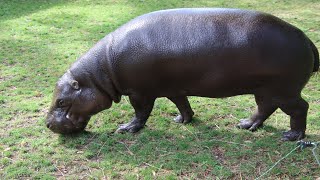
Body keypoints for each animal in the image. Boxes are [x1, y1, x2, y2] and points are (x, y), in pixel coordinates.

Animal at [46, 8, 318, 141]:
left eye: (61, 101)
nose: (48, 124)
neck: (100, 73)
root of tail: (307, 39)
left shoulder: (139, 92)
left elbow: (141, 112)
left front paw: (126, 128)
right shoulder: (173, 88)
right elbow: (182, 104)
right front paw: (182, 121)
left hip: (284, 90)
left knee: (299, 108)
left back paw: (291, 136)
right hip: (266, 90)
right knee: (264, 108)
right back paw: (245, 125)